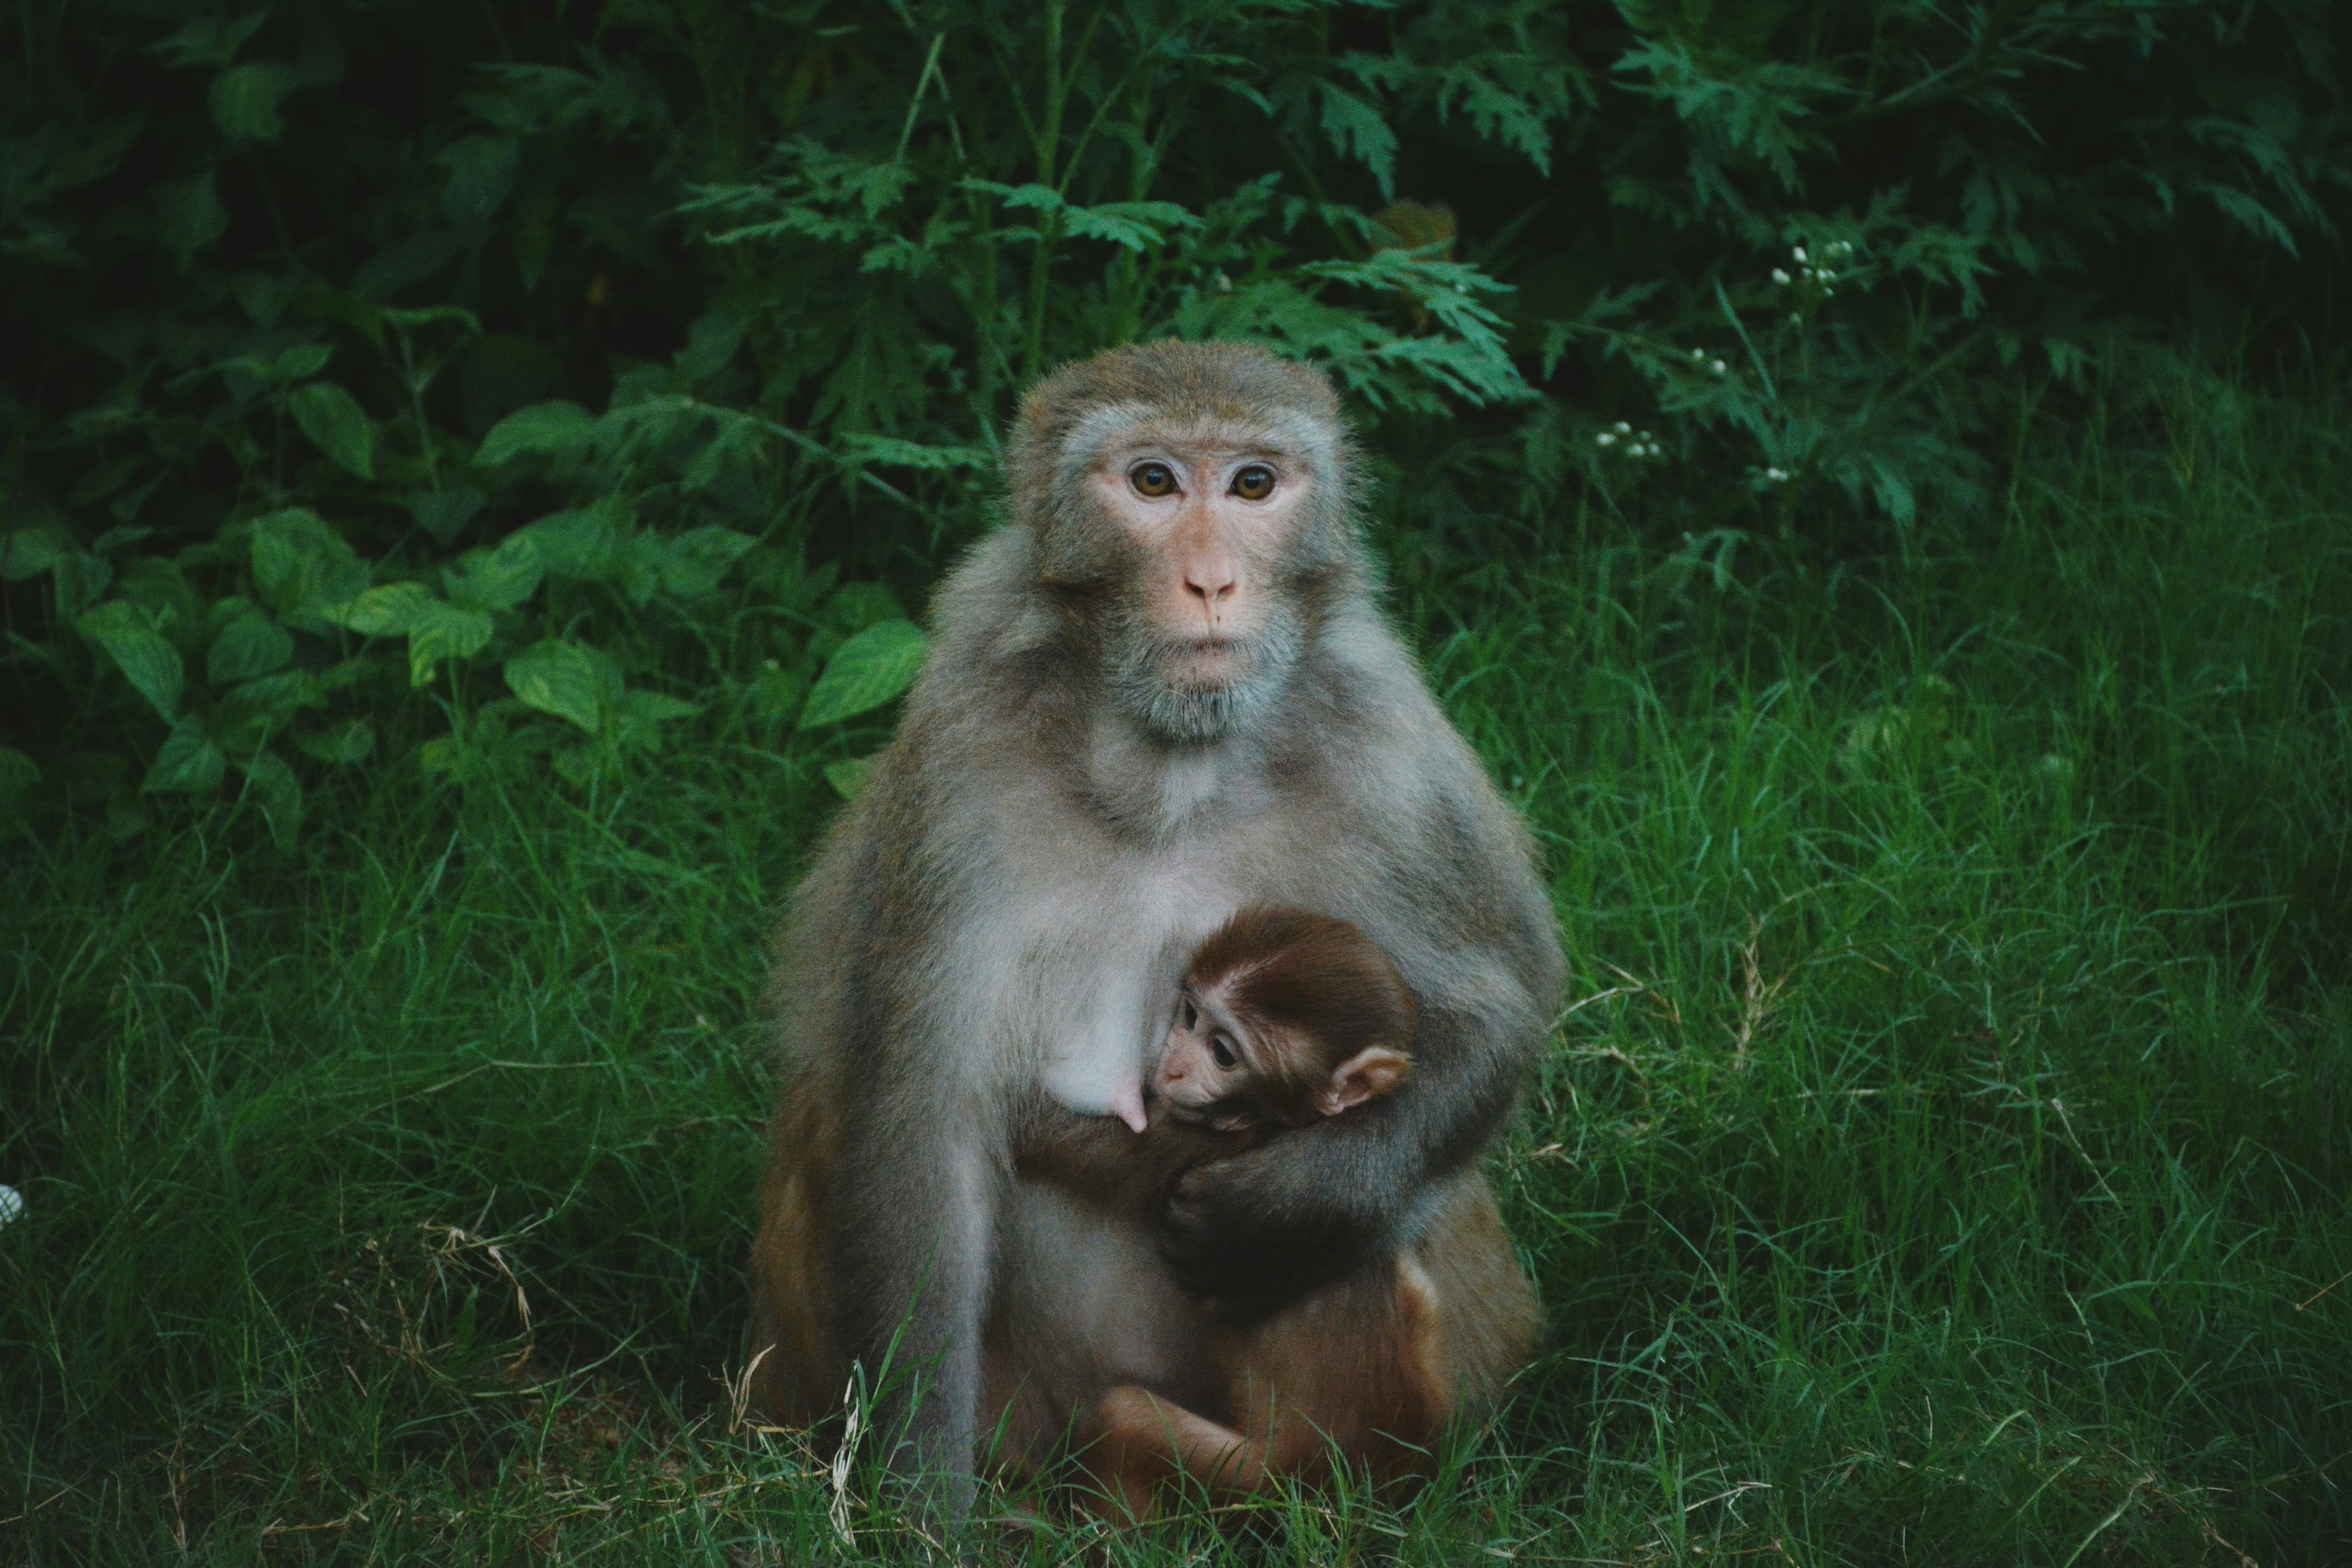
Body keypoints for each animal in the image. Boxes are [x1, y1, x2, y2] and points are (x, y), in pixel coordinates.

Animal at [746, 340, 1563, 1524]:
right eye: (1153, 483)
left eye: (1254, 485)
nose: (1212, 580)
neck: (1173, 770)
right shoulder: (955, 765)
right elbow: (920, 1126)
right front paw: (920, 1509)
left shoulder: (1395, 754)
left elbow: (1497, 1010)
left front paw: (1287, 1207)